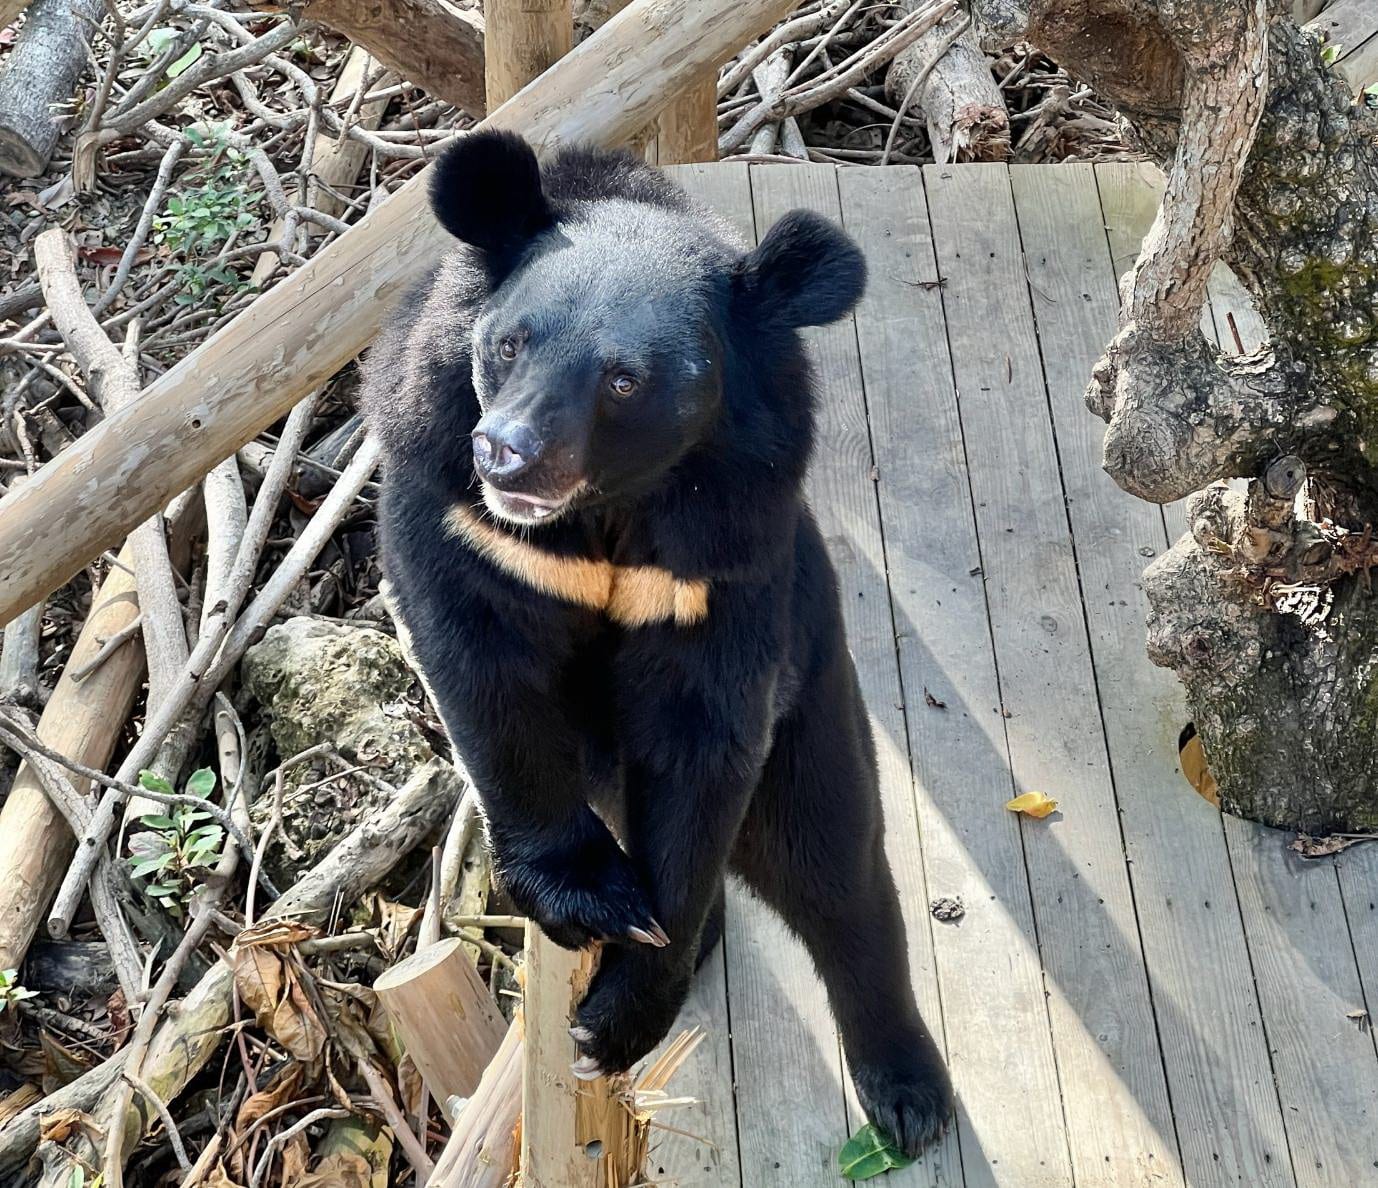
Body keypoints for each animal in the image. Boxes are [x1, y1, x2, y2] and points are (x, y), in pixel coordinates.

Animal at [361, 129, 952, 1155]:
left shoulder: (722, 565)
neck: (600, 516)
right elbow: (486, 675)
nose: (505, 453)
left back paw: (909, 1093)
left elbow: (700, 736)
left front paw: (617, 1018)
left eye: (623, 380)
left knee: (833, 865)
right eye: (509, 342)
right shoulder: (452, 512)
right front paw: (592, 900)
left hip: (820, 687)